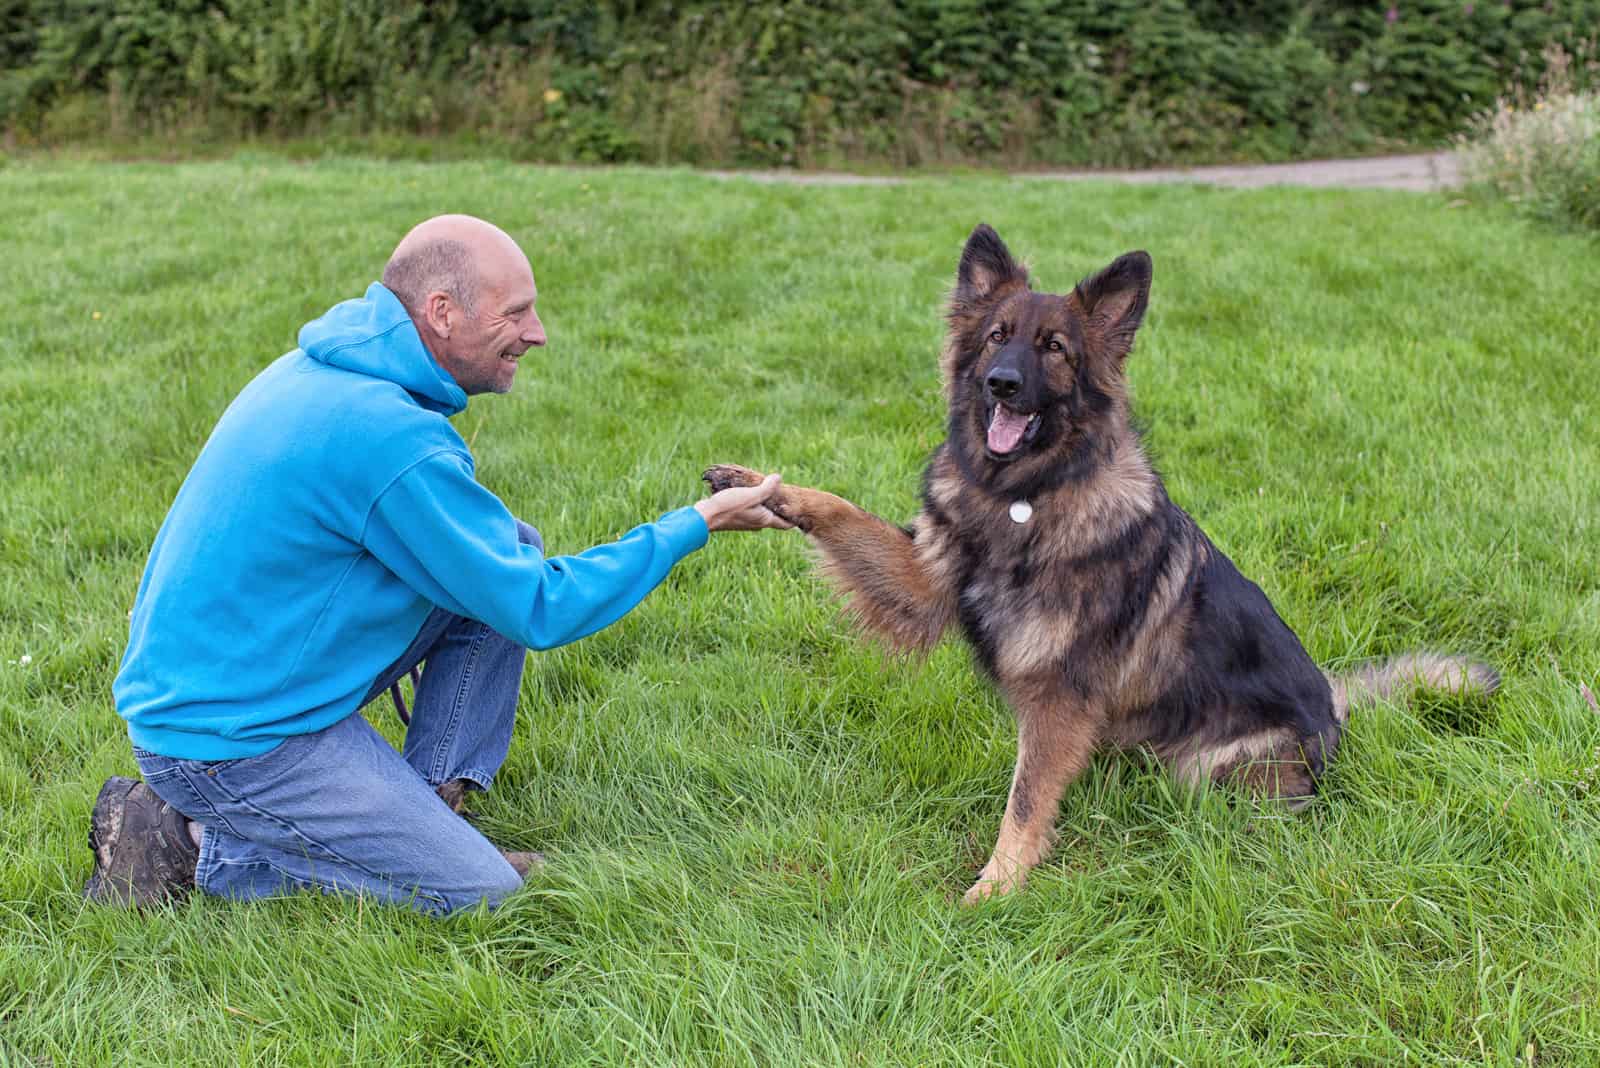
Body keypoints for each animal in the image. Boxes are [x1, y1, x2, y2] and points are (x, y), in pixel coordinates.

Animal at [707, 223, 1491, 901]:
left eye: (1054, 348)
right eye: (996, 338)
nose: (1000, 383)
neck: (1024, 498)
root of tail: (1335, 708)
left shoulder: (1060, 694)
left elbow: (1025, 800)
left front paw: (997, 888)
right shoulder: (926, 582)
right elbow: (842, 512)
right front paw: (759, 490)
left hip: (1215, 767)